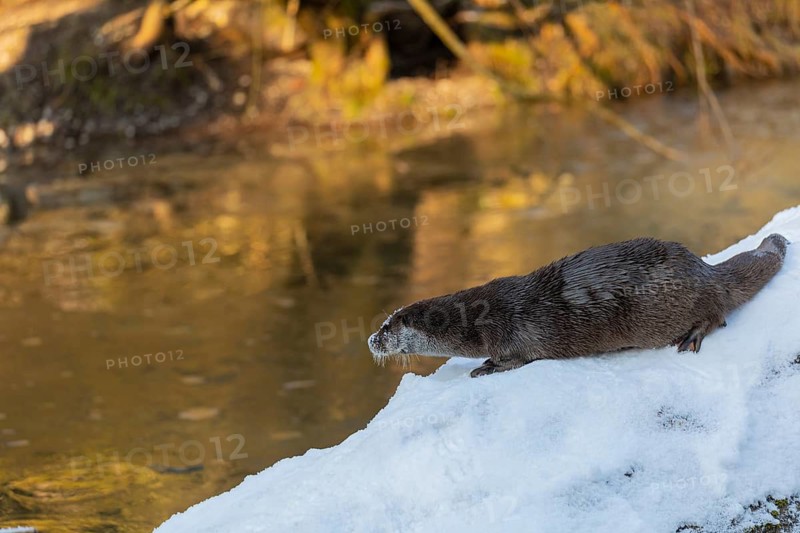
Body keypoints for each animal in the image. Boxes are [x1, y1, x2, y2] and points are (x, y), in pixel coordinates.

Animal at [367, 234, 789, 377]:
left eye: (388, 327)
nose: (370, 340)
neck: (475, 320)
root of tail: (704, 270)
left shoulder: (514, 334)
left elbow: (517, 359)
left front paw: (487, 367)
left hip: (687, 301)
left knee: (716, 315)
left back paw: (692, 336)